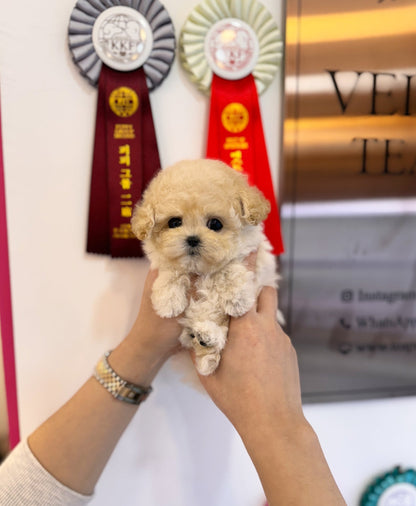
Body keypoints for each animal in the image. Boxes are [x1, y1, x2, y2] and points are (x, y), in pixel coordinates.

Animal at [132, 158, 278, 376]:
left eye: (215, 224)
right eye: (174, 222)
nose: (192, 239)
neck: (200, 269)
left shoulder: (254, 255)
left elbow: (228, 268)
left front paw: (236, 299)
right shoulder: (165, 261)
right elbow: (172, 270)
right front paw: (168, 301)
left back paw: (209, 337)